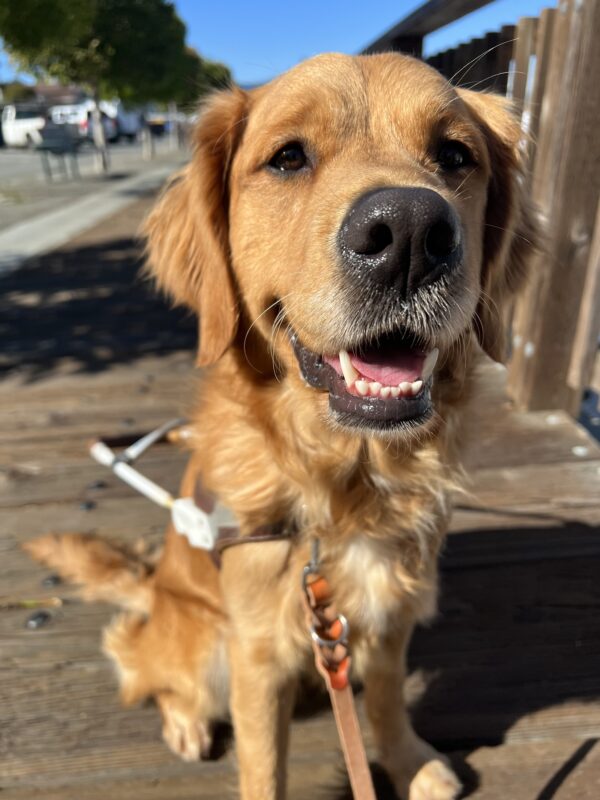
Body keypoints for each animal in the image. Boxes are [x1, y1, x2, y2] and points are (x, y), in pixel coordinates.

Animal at [25, 53, 536, 796]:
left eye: (454, 155)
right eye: (289, 157)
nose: (411, 233)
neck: (349, 482)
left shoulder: (390, 615)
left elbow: (384, 699)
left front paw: (408, 762)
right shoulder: (257, 651)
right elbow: (264, 764)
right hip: (203, 644)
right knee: (146, 669)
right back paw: (185, 720)